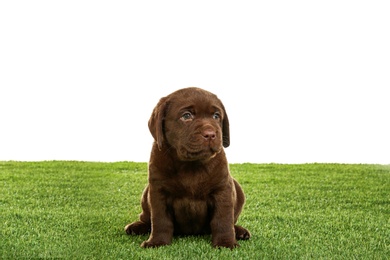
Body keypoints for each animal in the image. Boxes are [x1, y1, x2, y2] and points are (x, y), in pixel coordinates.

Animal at [126, 87, 251, 248]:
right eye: (186, 116)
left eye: (216, 116)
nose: (210, 134)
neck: (191, 164)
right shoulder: (158, 191)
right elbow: (160, 220)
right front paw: (157, 242)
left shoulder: (222, 189)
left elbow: (223, 219)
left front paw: (226, 243)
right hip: (146, 193)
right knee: (146, 218)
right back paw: (136, 227)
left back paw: (240, 231)